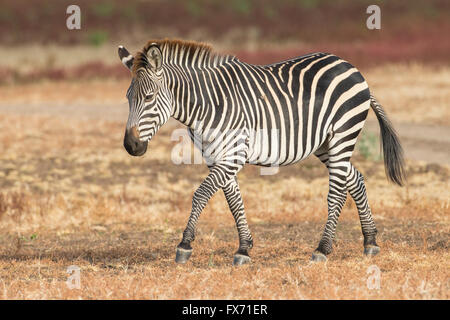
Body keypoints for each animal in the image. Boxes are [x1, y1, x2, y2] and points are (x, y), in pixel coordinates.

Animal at [118, 39, 406, 264]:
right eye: (128, 98)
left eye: (149, 98)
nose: (131, 146)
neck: (207, 104)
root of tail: (350, 66)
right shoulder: (216, 158)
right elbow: (233, 201)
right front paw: (244, 248)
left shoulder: (234, 154)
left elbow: (201, 194)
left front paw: (185, 245)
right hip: (325, 144)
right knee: (354, 179)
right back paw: (370, 242)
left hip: (341, 136)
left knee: (336, 192)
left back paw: (322, 250)